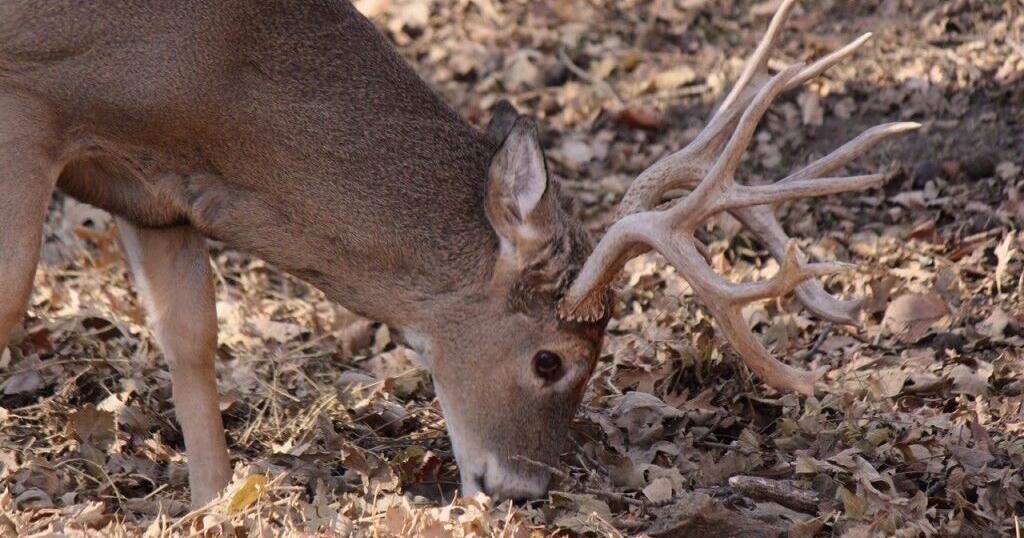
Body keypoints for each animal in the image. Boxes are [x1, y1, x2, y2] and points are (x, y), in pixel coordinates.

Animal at [0, 0, 916, 506]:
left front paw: (214, 503)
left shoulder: (158, 190)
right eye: (551, 360)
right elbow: (10, 305)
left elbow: (191, 340)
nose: (523, 488)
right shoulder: (29, 98)